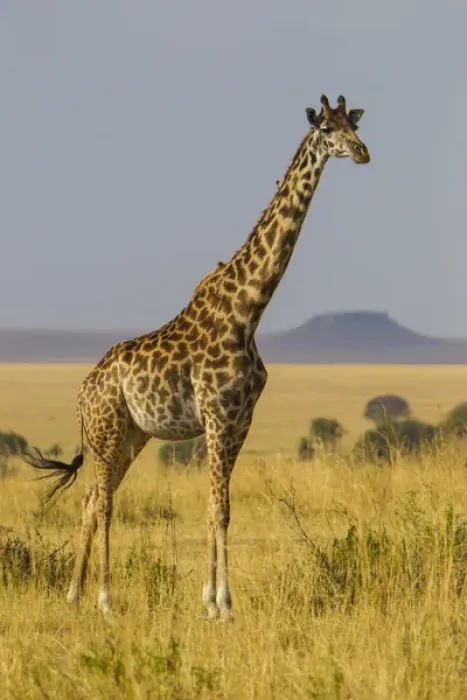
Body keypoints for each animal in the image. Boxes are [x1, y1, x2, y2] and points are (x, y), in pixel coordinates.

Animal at [24, 94, 370, 619]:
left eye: (356, 124)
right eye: (327, 129)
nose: (363, 152)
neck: (249, 310)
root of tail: (82, 392)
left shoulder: (239, 421)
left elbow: (215, 509)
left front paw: (210, 600)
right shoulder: (216, 416)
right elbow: (218, 509)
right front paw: (224, 604)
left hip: (131, 436)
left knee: (89, 499)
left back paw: (74, 596)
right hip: (106, 431)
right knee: (103, 502)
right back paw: (104, 599)